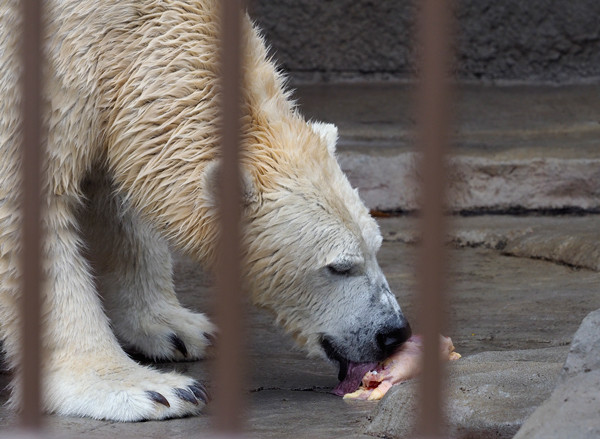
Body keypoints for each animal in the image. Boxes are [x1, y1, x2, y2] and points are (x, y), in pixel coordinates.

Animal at [0, 0, 412, 422]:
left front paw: (177, 329)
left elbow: (121, 207)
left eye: (376, 248)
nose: (393, 333)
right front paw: (148, 388)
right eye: (339, 266)